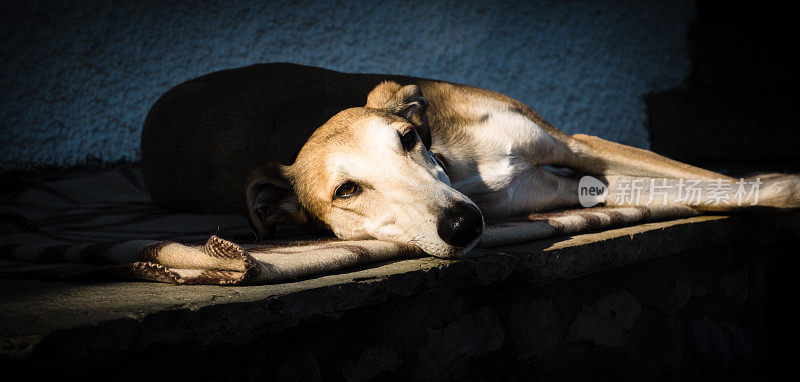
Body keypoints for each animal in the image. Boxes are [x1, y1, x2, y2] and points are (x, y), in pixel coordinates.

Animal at [141, 62, 800, 258]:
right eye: (347, 191)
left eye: (408, 140)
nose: (463, 224)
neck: (465, 169)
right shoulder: (570, 187)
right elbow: (723, 187)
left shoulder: (572, 145)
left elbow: (720, 180)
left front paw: (778, 182)